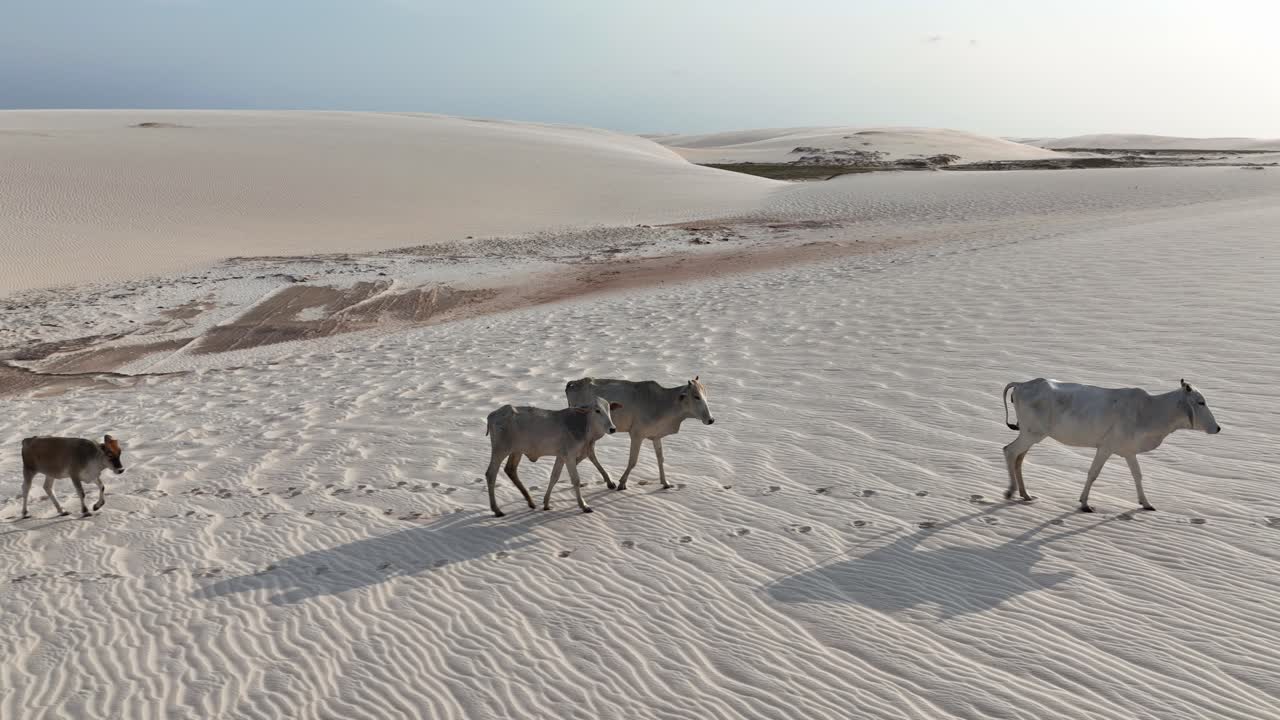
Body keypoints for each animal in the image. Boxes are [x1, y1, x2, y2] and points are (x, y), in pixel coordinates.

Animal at [483, 397, 621, 517]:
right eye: (597, 410)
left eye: (609, 409)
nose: (612, 428)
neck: (583, 425)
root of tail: (492, 415)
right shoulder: (569, 456)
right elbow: (576, 480)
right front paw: (584, 505)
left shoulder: (561, 456)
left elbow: (554, 477)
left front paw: (546, 503)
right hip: (500, 450)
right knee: (491, 474)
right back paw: (497, 510)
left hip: (516, 451)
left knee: (510, 470)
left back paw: (530, 502)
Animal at [565, 376, 715, 491]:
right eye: (696, 396)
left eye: (706, 394)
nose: (711, 419)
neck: (663, 403)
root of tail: (574, 383)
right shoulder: (637, 435)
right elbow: (633, 461)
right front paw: (622, 483)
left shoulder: (656, 436)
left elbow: (660, 459)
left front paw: (665, 483)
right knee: (588, 452)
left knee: (589, 453)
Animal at [1002, 378, 1221, 512]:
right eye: (1200, 402)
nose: (1218, 428)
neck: (1150, 410)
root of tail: (1022, 384)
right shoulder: (1105, 448)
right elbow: (1093, 474)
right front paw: (1084, 504)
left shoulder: (1129, 451)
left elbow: (1137, 476)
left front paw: (1146, 503)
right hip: (1032, 434)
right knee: (1009, 451)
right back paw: (1011, 491)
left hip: (1031, 435)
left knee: (1019, 458)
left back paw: (1025, 494)